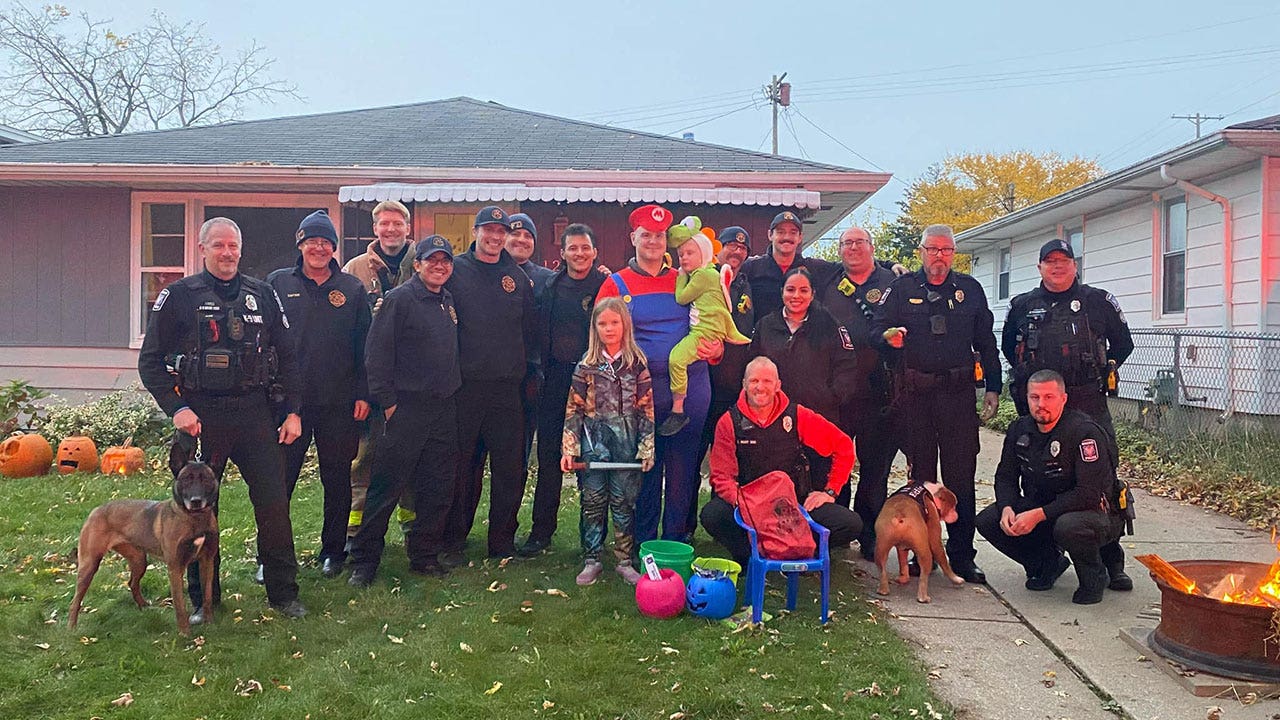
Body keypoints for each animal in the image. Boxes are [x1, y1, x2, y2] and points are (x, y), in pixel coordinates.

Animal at [68, 438, 220, 632]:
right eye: (186, 479)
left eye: (206, 479)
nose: (195, 501)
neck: (194, 519)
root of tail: (96, 510)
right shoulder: (175, 567)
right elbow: (180, 605)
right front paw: (184, 633)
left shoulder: (207, 561)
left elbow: (207, 597)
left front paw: (210, 624)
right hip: (89, 565)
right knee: (75, 600)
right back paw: (71, 627)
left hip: (139, 560)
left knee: (132, 583)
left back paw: (143, 606)